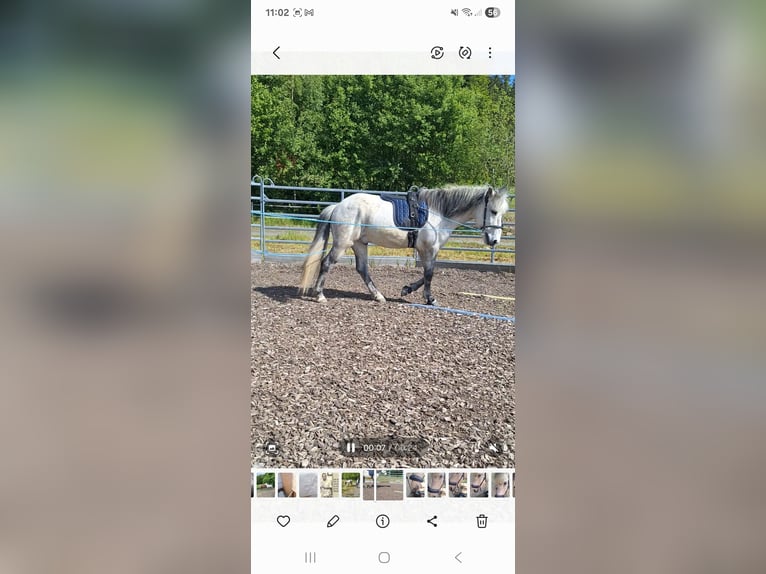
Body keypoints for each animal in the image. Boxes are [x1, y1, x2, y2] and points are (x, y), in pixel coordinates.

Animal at [298, 185, 509, 305]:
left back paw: (379, 296)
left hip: (359, 244)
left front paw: (407, 289)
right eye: (493, 211)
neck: (439, 213)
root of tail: (338, 206)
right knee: (327, 263)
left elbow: (427, 274)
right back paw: (320, 295)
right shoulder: (428, 249)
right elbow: (429, 274)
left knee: (362, 269)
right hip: (343, 244)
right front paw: (429, 298)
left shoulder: (428, 251)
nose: (494, 240)